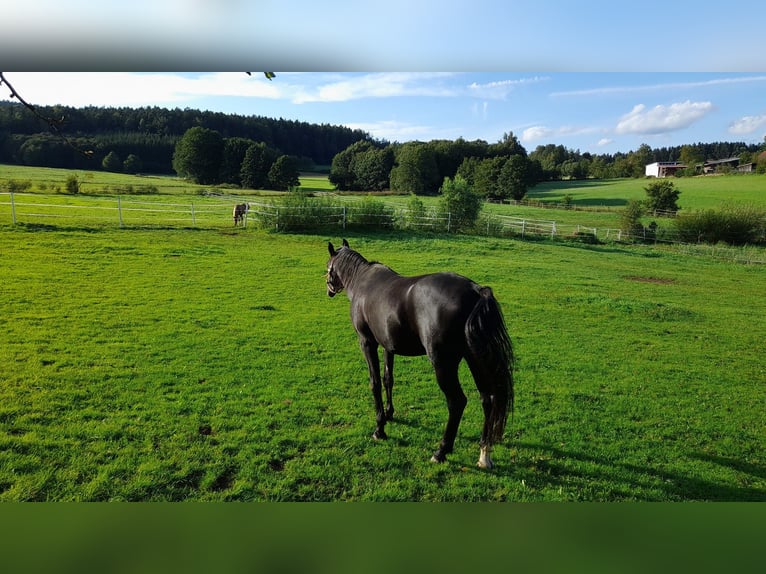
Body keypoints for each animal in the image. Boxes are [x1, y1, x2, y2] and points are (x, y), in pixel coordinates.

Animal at [326, 241, 516, 470]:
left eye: (328, 266)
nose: (329, 289)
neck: (362, 281)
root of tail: (476, 291)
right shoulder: (388, 346)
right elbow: (388, 379)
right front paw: (389, 414)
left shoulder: (367, 343)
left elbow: (375, 382)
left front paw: (380, 428)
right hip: (474, 358)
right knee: (488, 398)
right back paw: (484, 454)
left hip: (443, 364)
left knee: (457, 402)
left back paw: (441, 451)